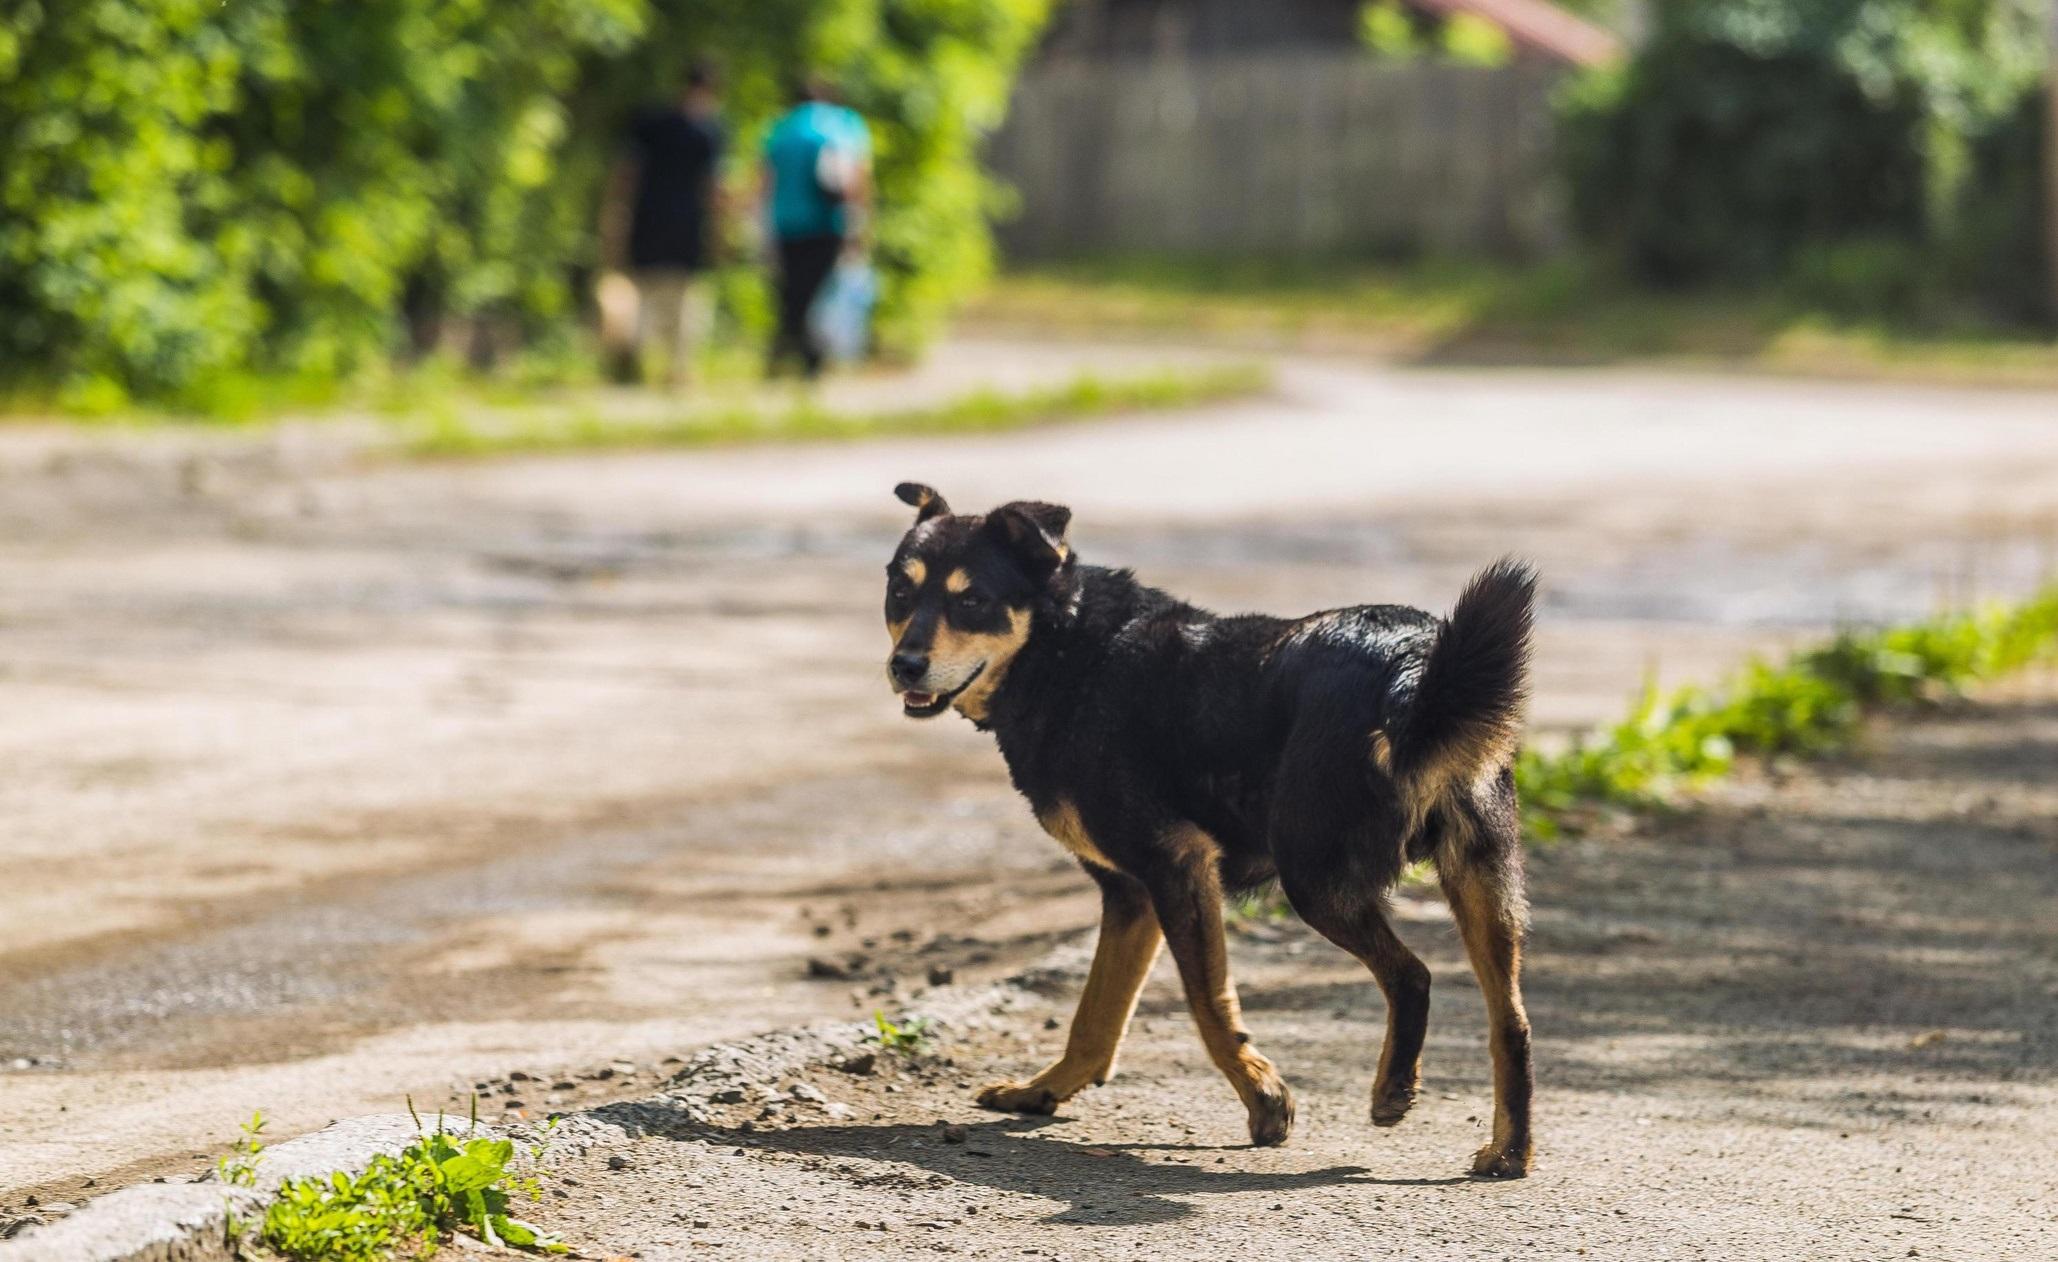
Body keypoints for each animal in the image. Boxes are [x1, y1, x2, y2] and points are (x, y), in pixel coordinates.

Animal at [876, 483, 1539, 1177]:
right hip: (1482, 879)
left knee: (1412, 977)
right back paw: (1508, 1150)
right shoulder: (1133, 894)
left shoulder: (1178, 866)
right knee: (1512, 1023)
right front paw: (1042, 1090)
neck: (1066, 652)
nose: (905, 665)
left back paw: (1392, 1090)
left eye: (972, 599)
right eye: (900, 592)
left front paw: (1264, 1097)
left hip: (1315, 880)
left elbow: (1207, 1002)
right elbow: (1095, 1019)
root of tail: (1412, 663)